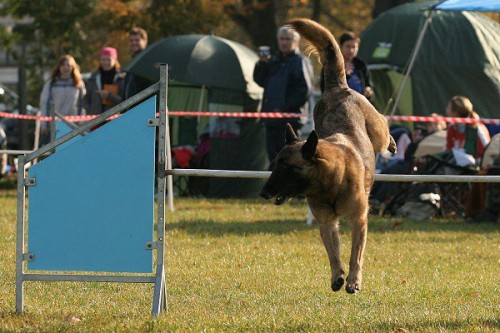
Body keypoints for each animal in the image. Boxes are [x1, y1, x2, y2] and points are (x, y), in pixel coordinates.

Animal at [260, 18, 396, 294]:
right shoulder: (326, 222)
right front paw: (337, 276)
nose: (263, 192)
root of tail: (339, 87)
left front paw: (354, 281)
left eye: (286, 167)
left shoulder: (359, 220)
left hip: (376, 130)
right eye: (275, 165)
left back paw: (393, 144)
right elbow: (334, 252)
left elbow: (355, 255)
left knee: (384, 130)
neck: (331, 180)